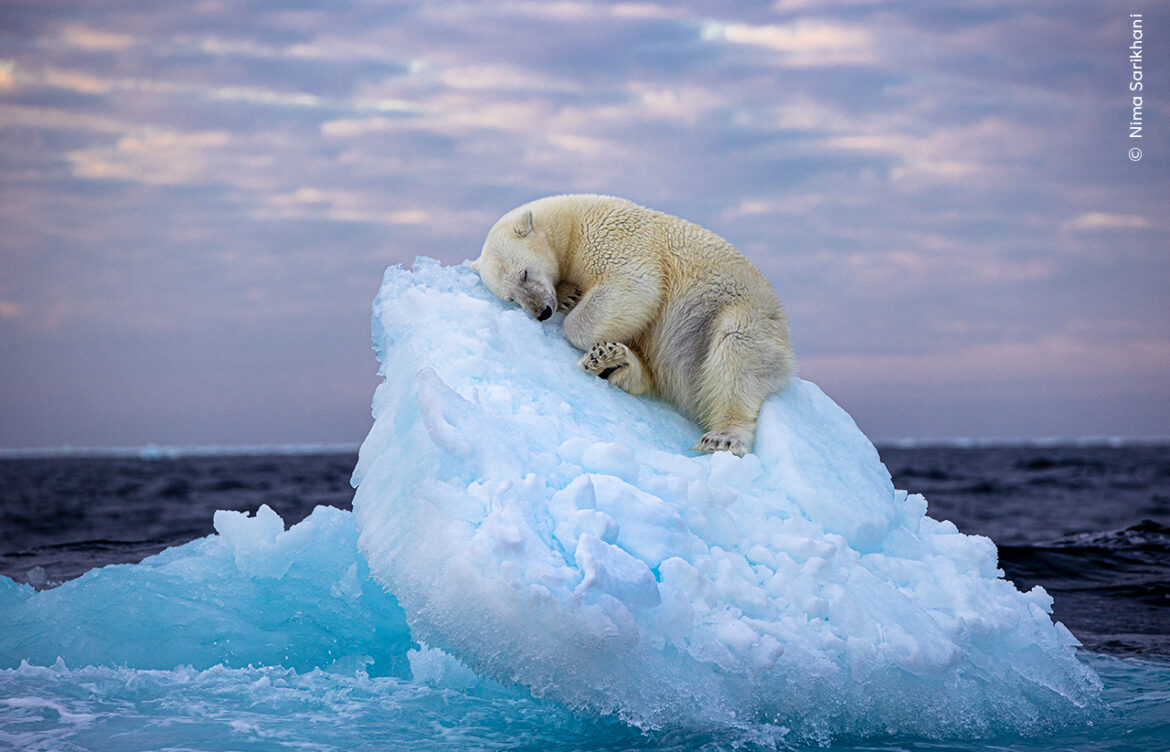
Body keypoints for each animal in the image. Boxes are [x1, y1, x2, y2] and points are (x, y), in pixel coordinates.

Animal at [472, 192, 795, 458]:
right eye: (511, 297)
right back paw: (612, 361)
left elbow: (634, 285)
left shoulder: (613, 238)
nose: (542, 312)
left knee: (736, 356)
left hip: (739, 314)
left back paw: (723, 437)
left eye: (524, 274)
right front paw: (569, 296)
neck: (571, 222)